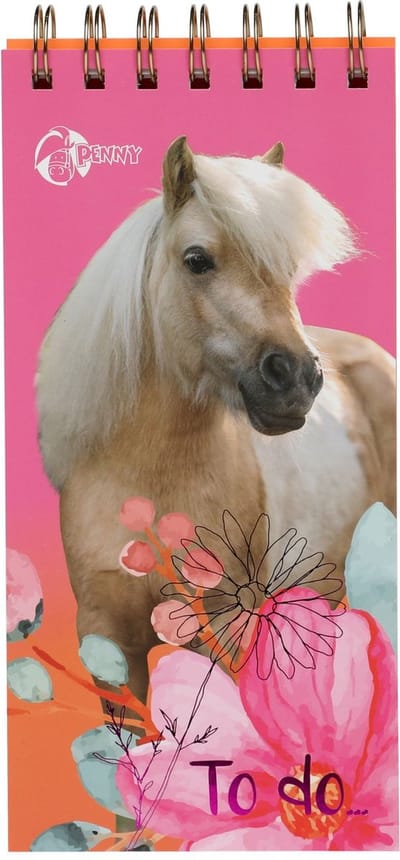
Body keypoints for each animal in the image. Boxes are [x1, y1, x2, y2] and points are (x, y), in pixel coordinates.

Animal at [36, 137, 396, 701]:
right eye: (197, 260)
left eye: (287, 269)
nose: (297, 378)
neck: (149, 479)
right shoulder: (107, 641)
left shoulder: (221, 628)